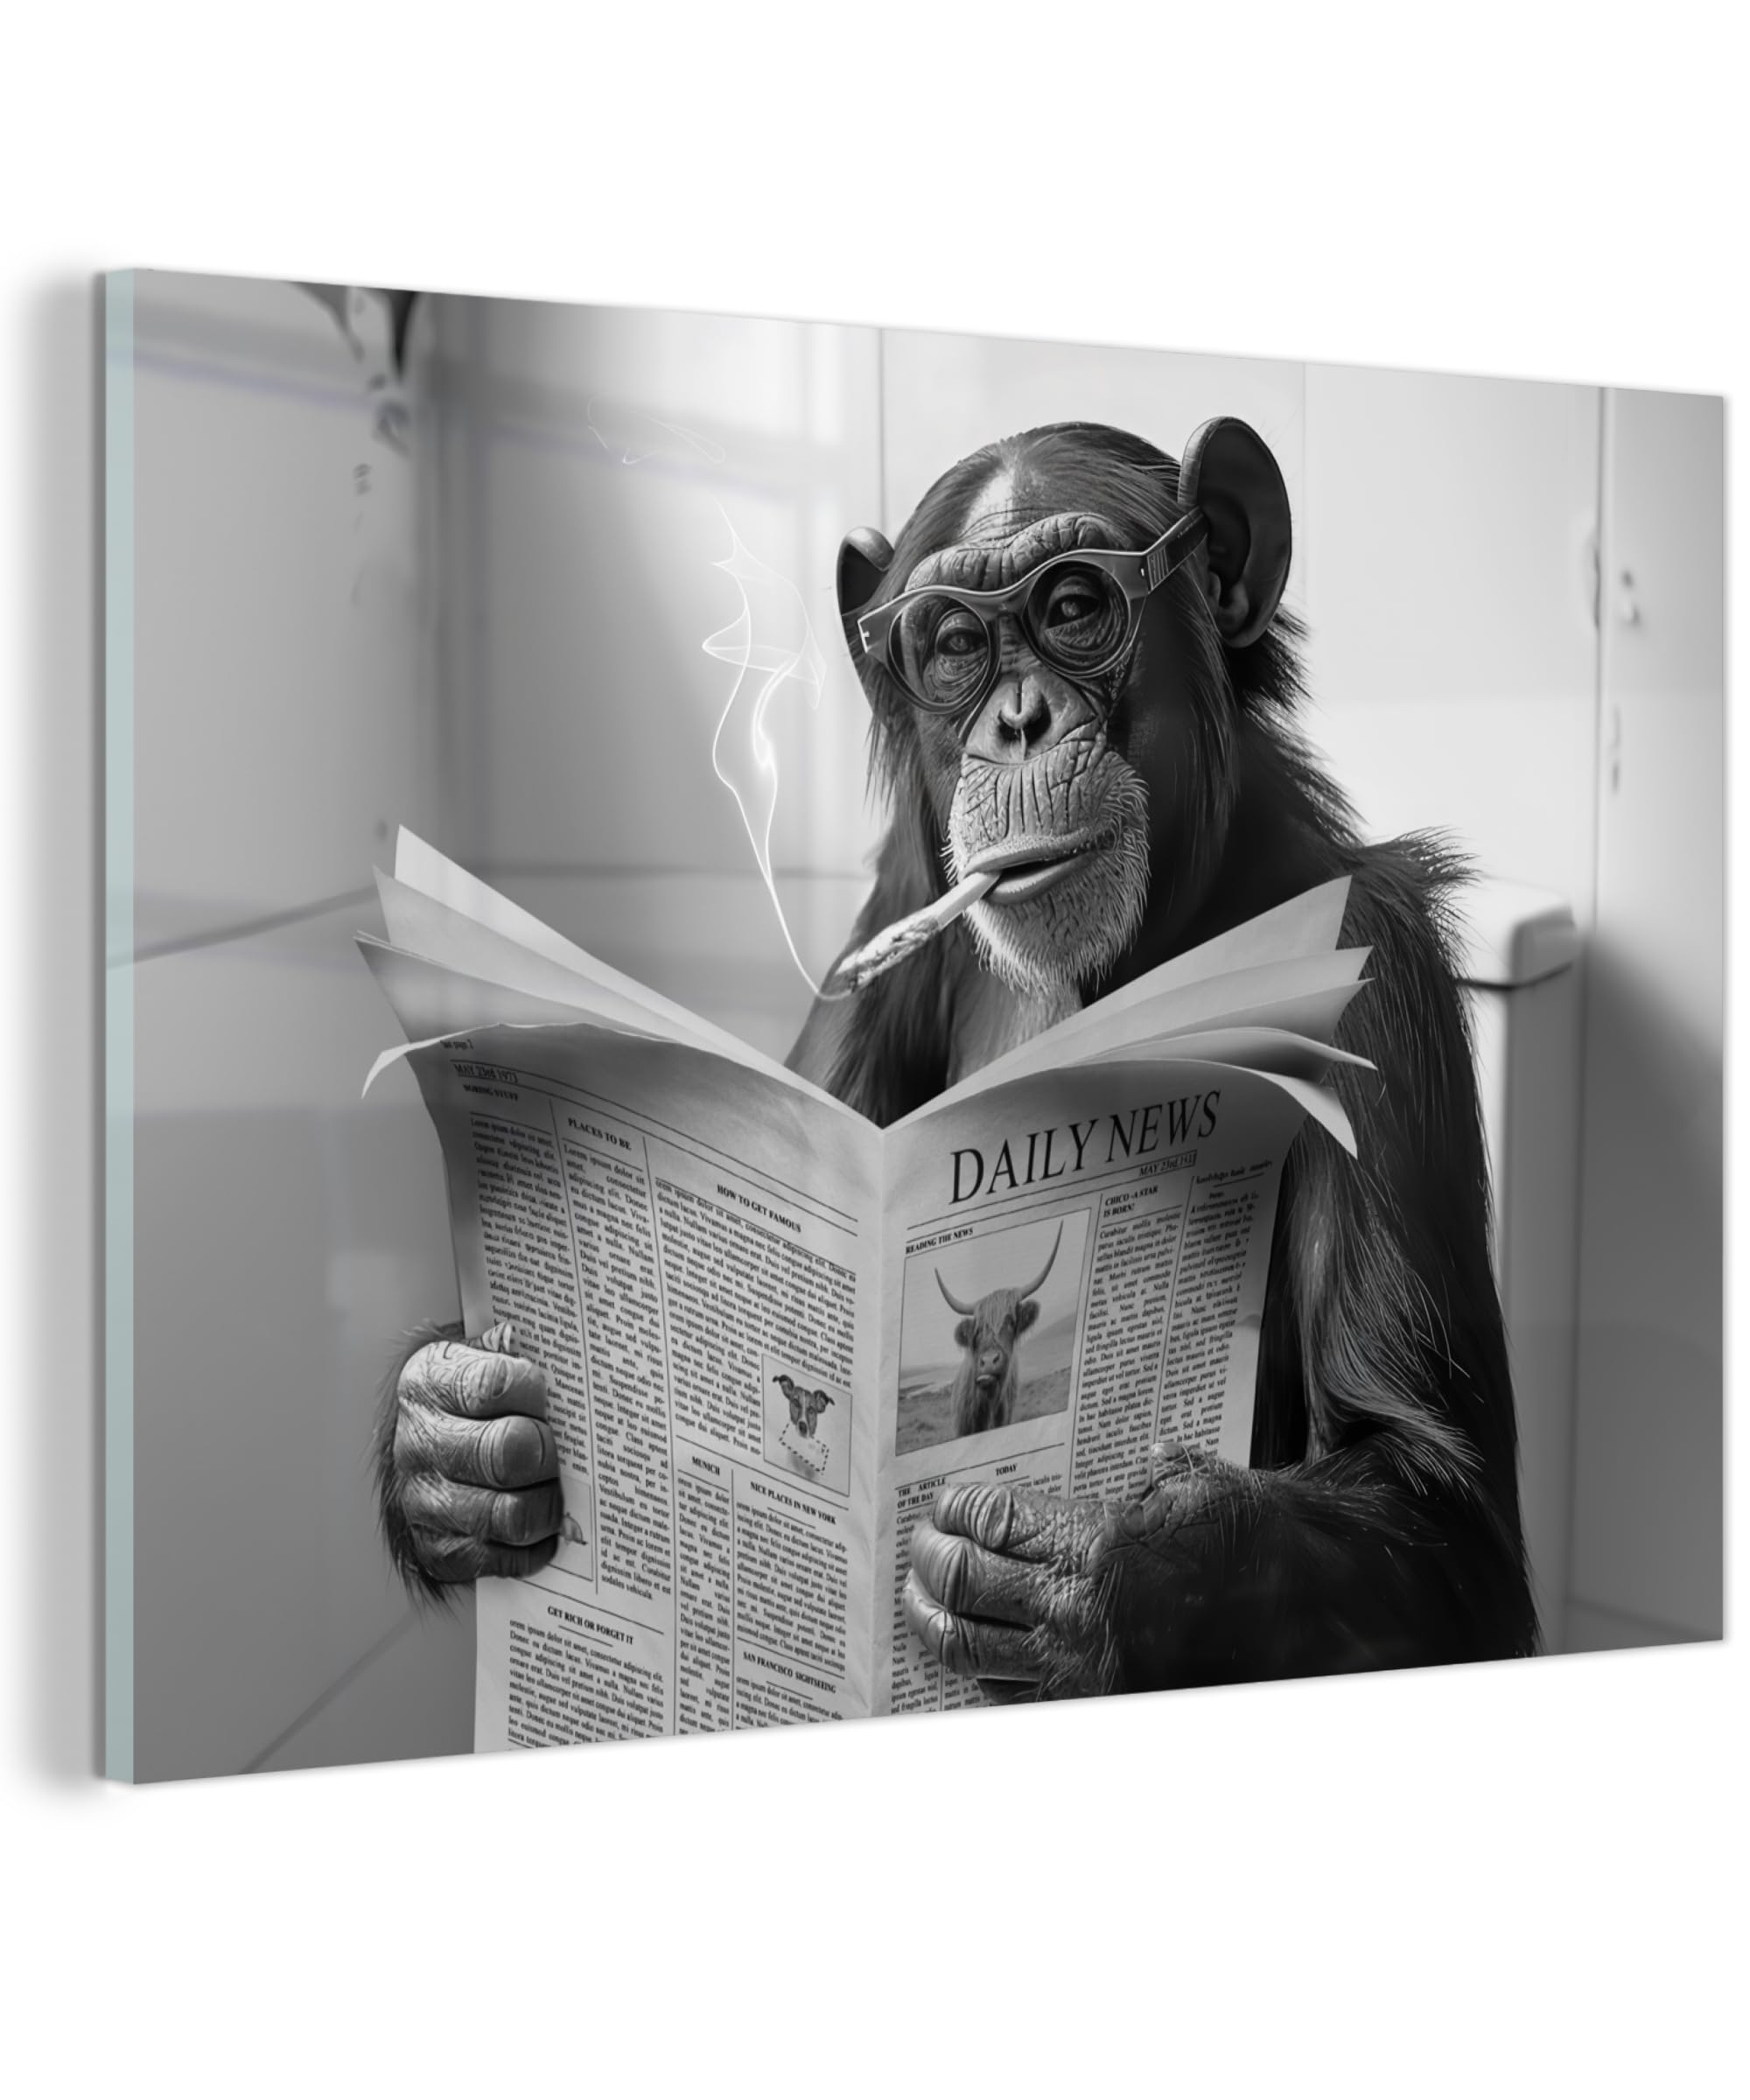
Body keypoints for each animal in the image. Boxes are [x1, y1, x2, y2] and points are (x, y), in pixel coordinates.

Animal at [378, 414, 1537, 1698]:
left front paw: (1076, 1571)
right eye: (952, 646)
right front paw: (456, 1440)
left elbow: (1435, 1510)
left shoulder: (1375, 969)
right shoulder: (892, 903)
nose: (1016, 720)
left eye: (1074, 605)